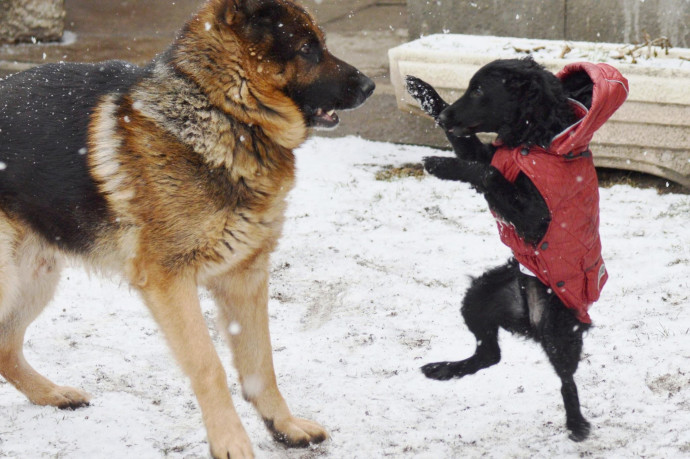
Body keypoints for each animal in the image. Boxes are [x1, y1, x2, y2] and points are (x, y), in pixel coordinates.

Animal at [0, 0, 374, 456]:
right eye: (307, 48)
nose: (371, 85)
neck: (225, 112)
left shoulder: (245, 277)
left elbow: (261, 362)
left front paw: (283, 426)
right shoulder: (169, 281)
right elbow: (208, 364)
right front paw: (231, 441)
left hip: (36, 276)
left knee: (5, 346)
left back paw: (52, 394)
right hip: (9, 277)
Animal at [406, 57, 628, 442]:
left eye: (479, 90)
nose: (446, 116)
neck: (535, 139)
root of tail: (528, 318)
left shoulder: (536, 218)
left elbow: (487, 173)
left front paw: (441, 164)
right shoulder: (489, 155)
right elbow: (475, 152)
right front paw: (423, 90)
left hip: (559, 331)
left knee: (566, 378)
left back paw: (576, 424)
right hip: (479, 296)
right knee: (489, 354)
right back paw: (444, 369)